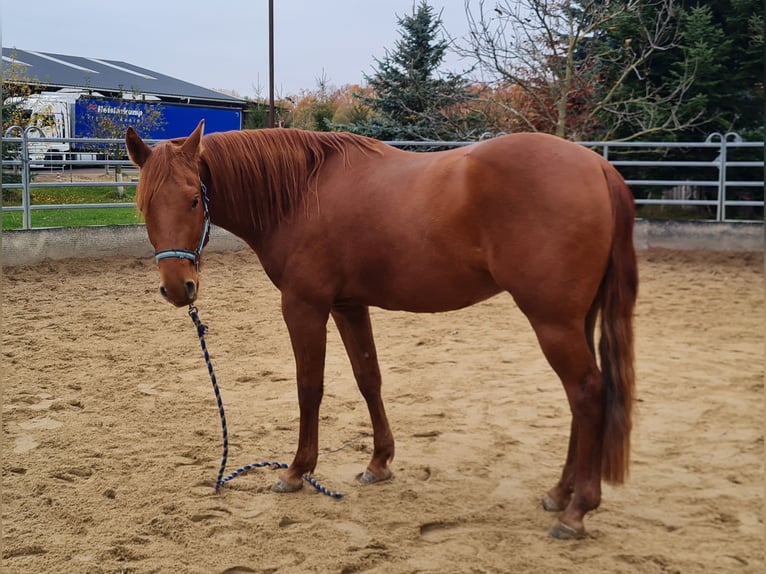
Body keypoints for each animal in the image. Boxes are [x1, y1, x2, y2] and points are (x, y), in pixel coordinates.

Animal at [125, 120, 637, 539]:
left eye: (194, 199)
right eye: (144, 205)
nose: (179, 288)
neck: (301, 193)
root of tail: (598, 167)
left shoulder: (304, 306)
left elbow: (309, 386)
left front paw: (295, 471)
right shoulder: (349, 306)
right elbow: (368, 377)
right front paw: (379, 464)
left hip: (552, 322)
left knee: (588, 393)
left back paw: (576, 511)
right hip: (576, 319)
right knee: (580, 399)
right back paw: (560, 493)